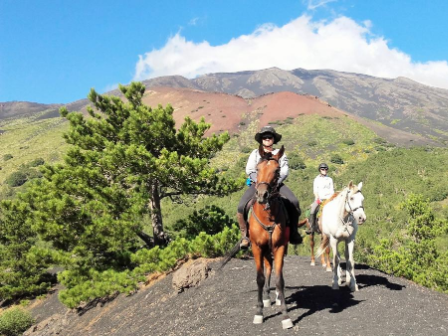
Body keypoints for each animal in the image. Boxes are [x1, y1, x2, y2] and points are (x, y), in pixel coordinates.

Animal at [248, 144, 294, 328]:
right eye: (258, 168)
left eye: (277, 170)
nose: (262, 195)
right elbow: (260, 278)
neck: (268, 215)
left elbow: (279, 280)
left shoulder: (279, 246)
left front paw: (285, 315)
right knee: (267, 268)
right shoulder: (257, 247)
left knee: (273, 269)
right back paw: (267, 298)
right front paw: (259, 312)